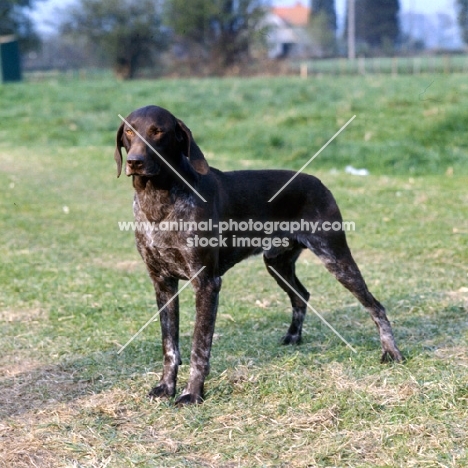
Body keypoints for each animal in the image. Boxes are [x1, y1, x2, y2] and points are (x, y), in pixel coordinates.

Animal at [114, 104, 402, 404]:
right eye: (129, 132)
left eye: (158, 131)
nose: (134, 161)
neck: (158, 201)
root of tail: (318, 182)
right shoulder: (162, 283)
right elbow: (169, 345)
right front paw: (166, 387)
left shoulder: (206, 283)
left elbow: (199, 347)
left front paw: (192, 393)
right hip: (277, 263)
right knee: (301, 295)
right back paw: (293, 337)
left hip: (336, 258)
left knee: (375, 306)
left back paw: (391, 352)